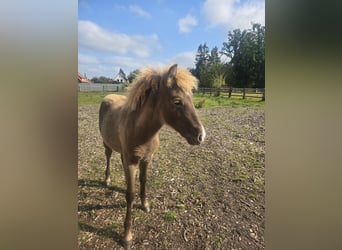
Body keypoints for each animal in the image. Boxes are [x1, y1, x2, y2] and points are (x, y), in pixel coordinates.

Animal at [99, 64, 206, 248]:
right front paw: (127, 236)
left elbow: (143, 181)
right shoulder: (131, 163)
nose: (201, 136)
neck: (141, 131)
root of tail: (108, 96)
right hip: (107, 144)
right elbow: (130, 194)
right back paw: (107, 180)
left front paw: (145, 205)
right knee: (108, 156)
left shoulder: (146, 159)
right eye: (177, 101)